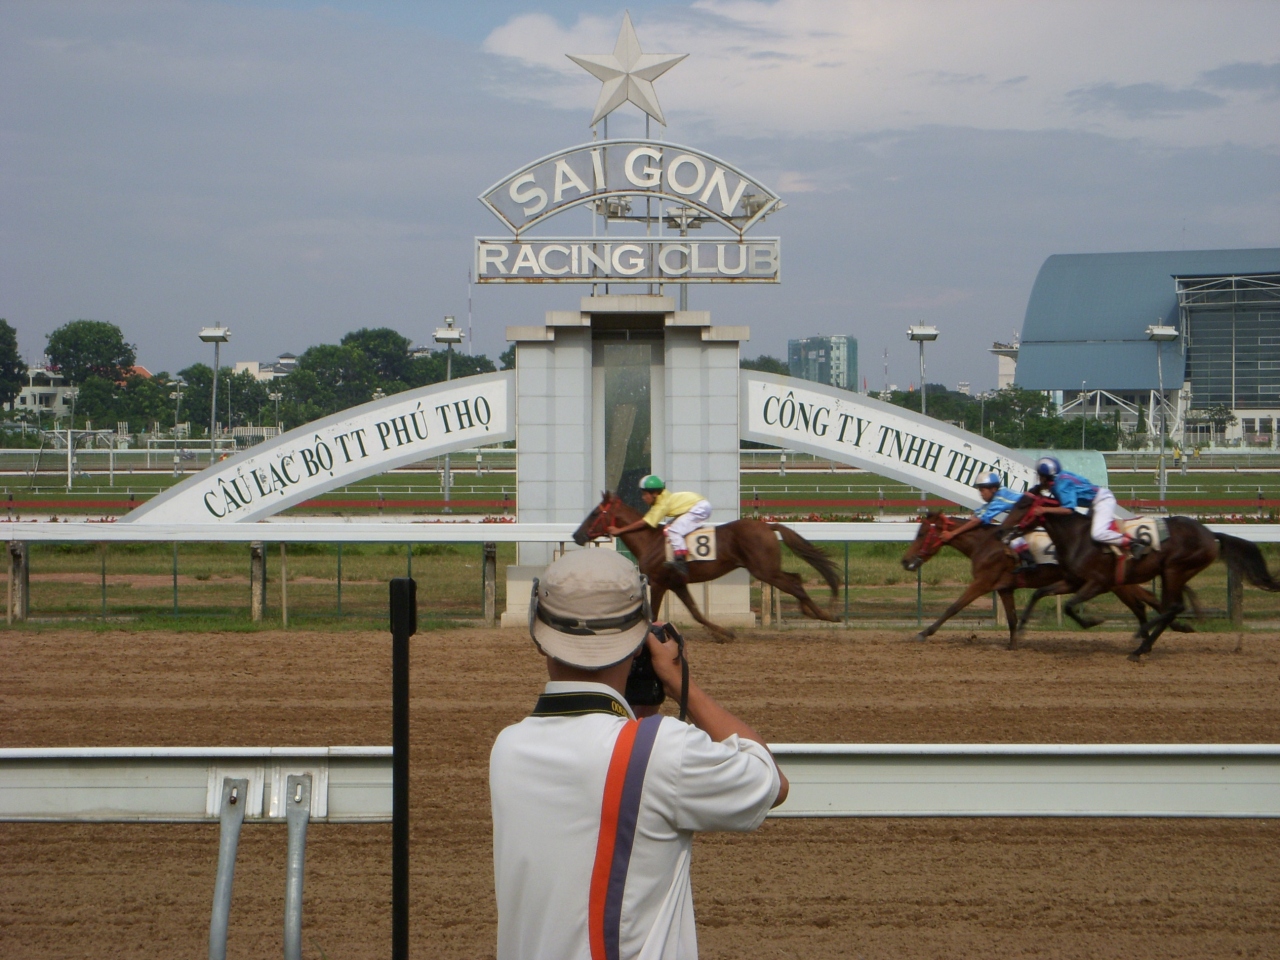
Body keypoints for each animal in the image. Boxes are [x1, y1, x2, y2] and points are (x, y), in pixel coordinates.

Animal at [573, 491, 839, 642]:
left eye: (596, 512)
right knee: (796, 578)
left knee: (795, 583)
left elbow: (655, 616)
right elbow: (696, 613)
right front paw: (725, 633)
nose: (576, 535)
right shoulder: (677, 583)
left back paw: (824, 614)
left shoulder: (658, 582)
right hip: (768, 569)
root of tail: (767, 525)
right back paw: (813, 611)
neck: (650, 541)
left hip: (764, 570)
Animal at [906, 512, 1192, 655]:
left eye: (922, 533)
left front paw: (924, 632)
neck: (984, 544)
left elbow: (953, 607)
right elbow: (1012, 618)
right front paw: (1013, 645)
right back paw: (1169, 630)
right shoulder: (1005, 588)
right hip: (1118, 583)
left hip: (1116, 584)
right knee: (1145, 602)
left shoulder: (982, 583)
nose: (905, 560)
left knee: (1142, 604)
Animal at [998, 496, 1280, 660]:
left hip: (1175, 569)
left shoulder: (1099, 583)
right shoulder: (1074, 581)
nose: (1003, 529)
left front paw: (1093, 621)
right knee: (1168, 607)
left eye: (1021, 505)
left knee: (1172, 606)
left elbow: (1068, 606)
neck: (1078, 537)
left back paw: (1140, 642)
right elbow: (1040, 593)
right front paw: (1022, 627)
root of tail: (1211, 535)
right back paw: (1147, 642)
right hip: (1170, 573)